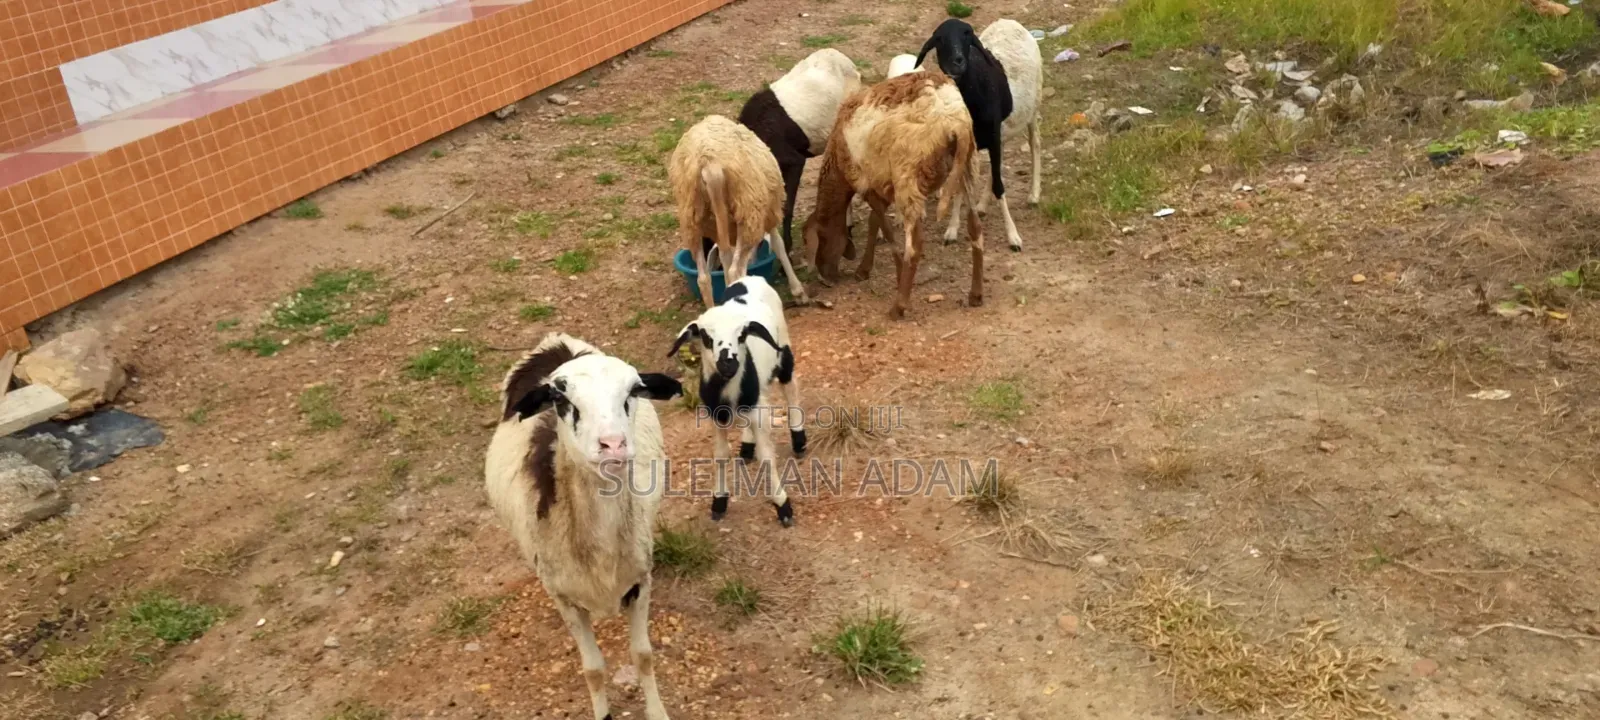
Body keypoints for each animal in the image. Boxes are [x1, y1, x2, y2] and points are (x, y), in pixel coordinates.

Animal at [484, 333, 684, 720]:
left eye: (634, 390)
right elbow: (593, 670)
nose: (613, 445)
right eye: (560, 398)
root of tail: (557, 341)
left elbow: (643, 656)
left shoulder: (640, 580)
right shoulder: (565, 599)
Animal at [666, 275, 804, 527]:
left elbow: (766, 456)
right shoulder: (716, 417)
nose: (728, 362)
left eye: (741, 335)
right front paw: (719, 501)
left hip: (784, 347)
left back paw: (799, 439)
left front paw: (783, 505)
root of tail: (751, 278)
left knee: (790, 387)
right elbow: (721, 454)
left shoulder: (757, 408)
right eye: (705, 337)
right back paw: (747, 445)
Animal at [669, 115, 810, 309]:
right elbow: (778, 244)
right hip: (748, 214)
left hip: (692, 219)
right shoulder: (769, 214)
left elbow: (724, 259)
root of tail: (709, 164)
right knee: (735, 272)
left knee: (704, 278)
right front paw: (798, 291)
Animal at [803, 71, 982, 319]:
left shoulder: (866, 183)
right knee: (975, 228)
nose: (826, 278)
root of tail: (953, 120)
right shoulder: (882, 186)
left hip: (908, 175)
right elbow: (874, 223)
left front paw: (897, 278)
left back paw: (899, 306)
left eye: (820, 238)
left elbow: (887, 233)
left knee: (915, 245)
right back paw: (976, 295)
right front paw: (864, 269)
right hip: (968, 166)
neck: (836, 165)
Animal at [914, 18, 1041, 252]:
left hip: (1033, 106)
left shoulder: (992, 137)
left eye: (967, 34)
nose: (957, 62)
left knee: (1035, 143)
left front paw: (1013, 236)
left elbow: (999, 186)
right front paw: (952, 230)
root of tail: (1008, 21)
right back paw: (982, 205)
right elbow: (961, 187)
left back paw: (1034, 194)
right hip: (1001, 130)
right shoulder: (966, 144)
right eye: (939, 39)